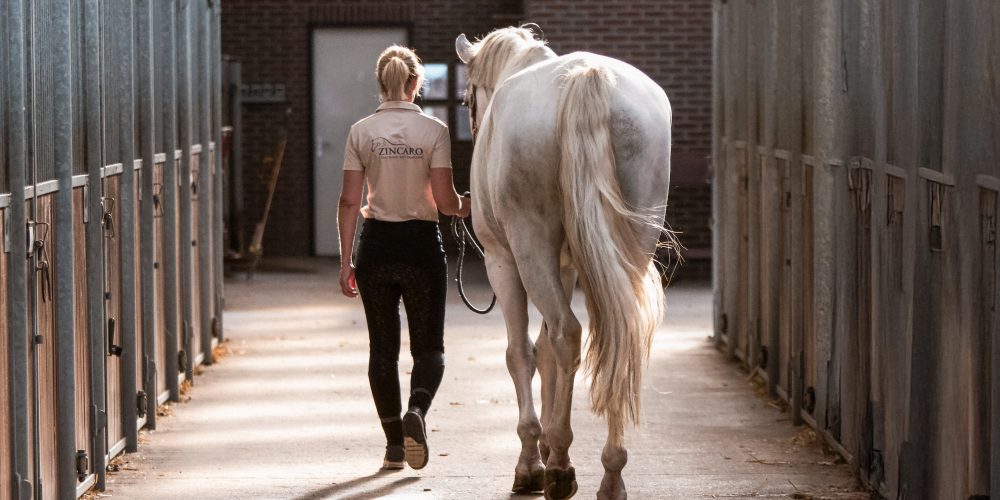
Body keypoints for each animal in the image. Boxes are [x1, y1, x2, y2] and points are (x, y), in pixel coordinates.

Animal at [455, 27, 673, 500]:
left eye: (465, 100)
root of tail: (589, 77)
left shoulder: (503, 262)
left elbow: (523, 352)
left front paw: (533, 461)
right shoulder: (569, 266)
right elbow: (547, 354)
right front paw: (551, 448)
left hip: (529, 246)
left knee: (565, 333)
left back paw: (559, 468)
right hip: (629, 244)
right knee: (617, 333)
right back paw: (610, 472)